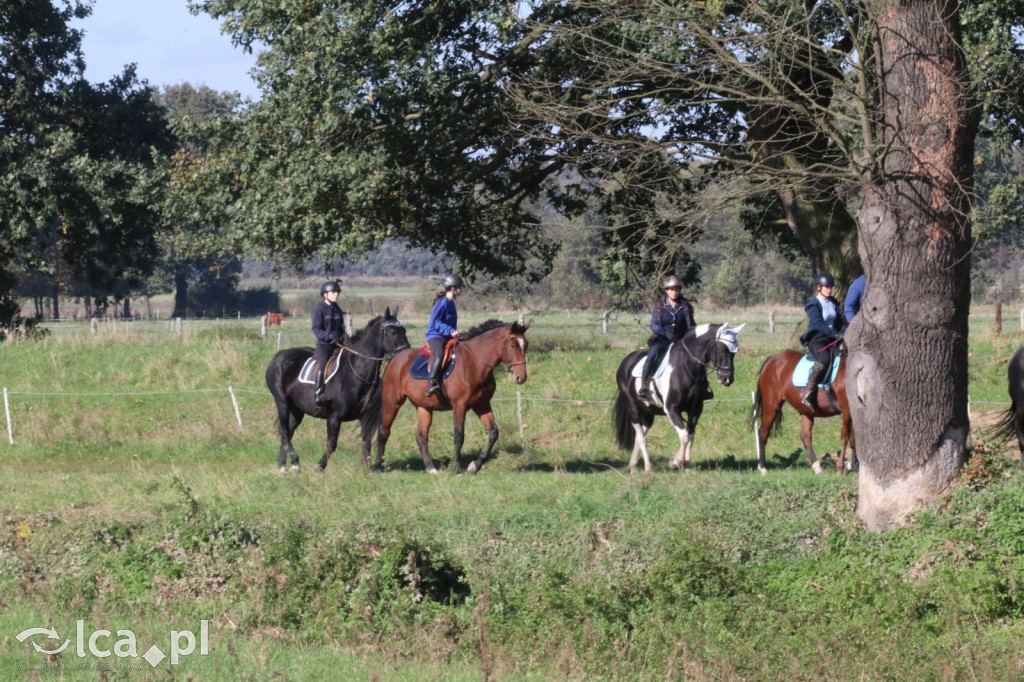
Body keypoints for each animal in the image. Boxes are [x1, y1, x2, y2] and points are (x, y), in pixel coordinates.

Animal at [266, 309, 409, 473]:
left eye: (404, 330)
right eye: (392, 331)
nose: (406, 353)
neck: (356, 371)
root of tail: (279, 356)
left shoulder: (365, 417)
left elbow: (366, 441)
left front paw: (368, 469)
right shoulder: (334, 417)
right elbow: (332, 444)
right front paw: (320, 465)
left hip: (297, 409)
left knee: (287, 431)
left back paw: (282, 464)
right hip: (282, 401)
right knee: (284, 431)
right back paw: (294, 462)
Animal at [378, 319, 536, 473]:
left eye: (526, 345)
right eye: (513, 345)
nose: (521, 377)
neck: (474, 362)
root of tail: (395, 358)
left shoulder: (482, 404)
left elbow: (493, 432)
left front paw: (475, 465)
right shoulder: (460, 405)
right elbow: (459, 436)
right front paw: (458, 468)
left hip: (424, 407)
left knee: (421, 437)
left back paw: (431, 468)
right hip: (392, 402)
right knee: (383, 431)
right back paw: (377, 466)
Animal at [606, 321, 745, 471]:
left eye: (735, 351)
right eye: (720, 347)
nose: (727, 379)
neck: (687, 367)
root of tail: (626, 362)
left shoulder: (696, 409)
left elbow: (691, 436)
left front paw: (687, 466)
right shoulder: (671, 409)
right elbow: (684, 436)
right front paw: (675, 462)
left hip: (649, 411)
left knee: (640, 434)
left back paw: (632, 465)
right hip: (633, 407)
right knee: (641, 436)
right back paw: (648, 467)